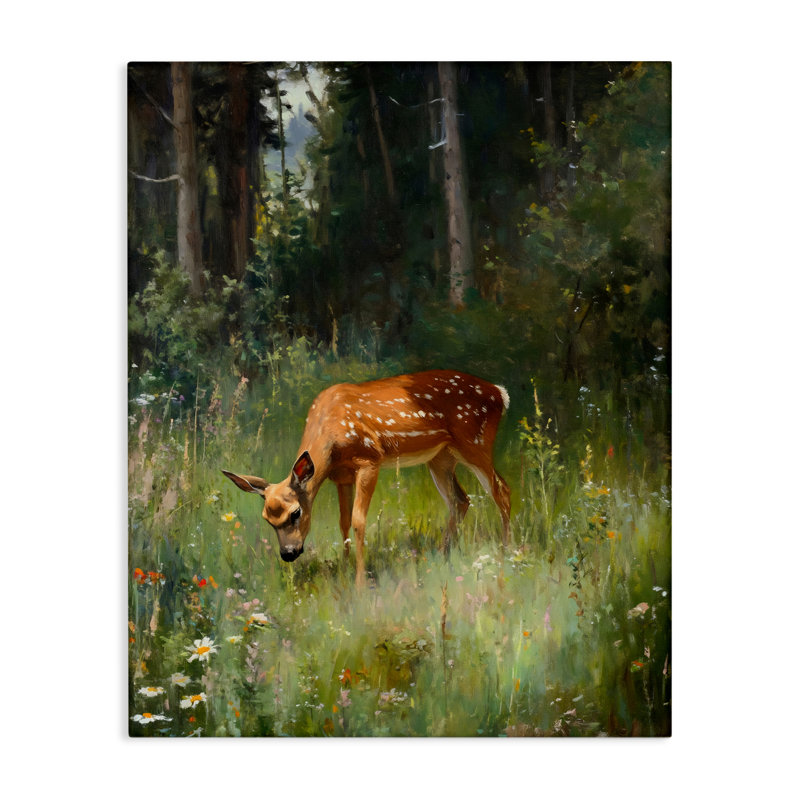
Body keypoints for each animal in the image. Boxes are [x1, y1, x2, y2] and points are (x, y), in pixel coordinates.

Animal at [222, 369, 511, 587]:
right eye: (267, 519)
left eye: (296, 512)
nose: (288, 554)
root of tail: (500, 394)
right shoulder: (341, 476)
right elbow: (343, 522)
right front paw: (344, 570)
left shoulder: (370, 460)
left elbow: (359, 521)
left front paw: (360, 584)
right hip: (441, 457)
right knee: (460, 500)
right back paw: (442, 558)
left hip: (474, 442)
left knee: (502, 490)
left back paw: (506, 554)